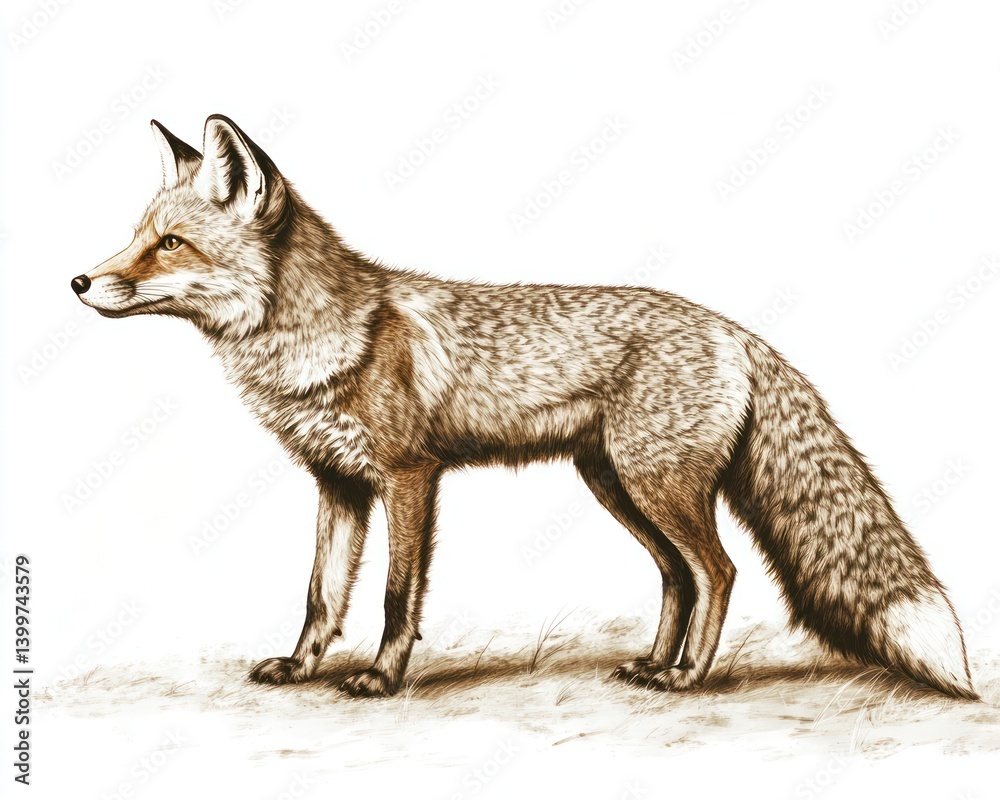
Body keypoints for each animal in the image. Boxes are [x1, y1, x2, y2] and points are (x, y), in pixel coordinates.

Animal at [71, 115, 977, 700]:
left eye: (170, 245)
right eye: (136, 236)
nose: (78, 280)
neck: (327, 337)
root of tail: (733, 329)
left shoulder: (409, 476)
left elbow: (395, 596)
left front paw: (381, 678)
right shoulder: (338, 484)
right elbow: (321, 596)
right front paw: (300, 668)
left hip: (656, 486)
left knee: (718, 571)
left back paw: (691, 676)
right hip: (617, 487)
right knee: (679, 577)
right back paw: (655, 665)